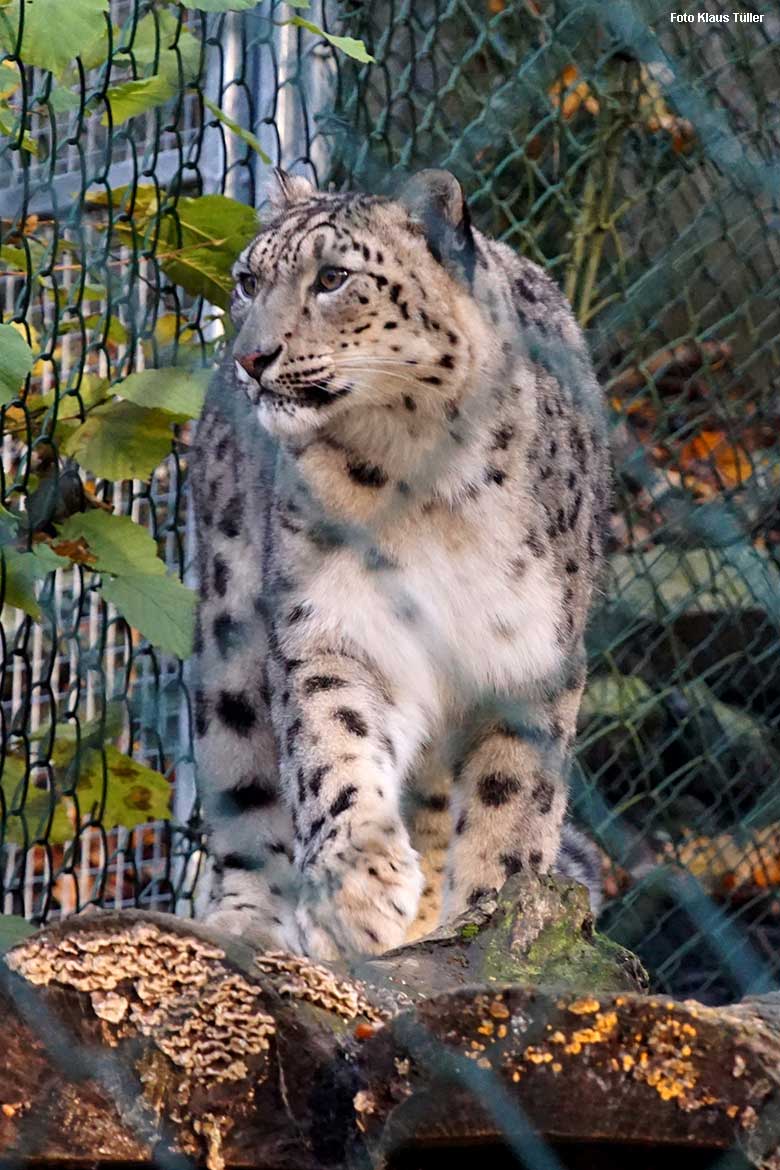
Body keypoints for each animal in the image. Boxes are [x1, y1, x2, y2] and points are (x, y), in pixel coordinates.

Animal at [190, 167, 608, 959]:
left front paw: (492, 914)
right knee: (244, 782)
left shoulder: (531, 658)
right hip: (228, 636)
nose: (250, 360)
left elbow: (514, 801)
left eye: (333, 276)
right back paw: (245, 925)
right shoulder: (333, 623)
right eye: (247, 281)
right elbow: (335, 745)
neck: (424, 482)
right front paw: (354, 891)